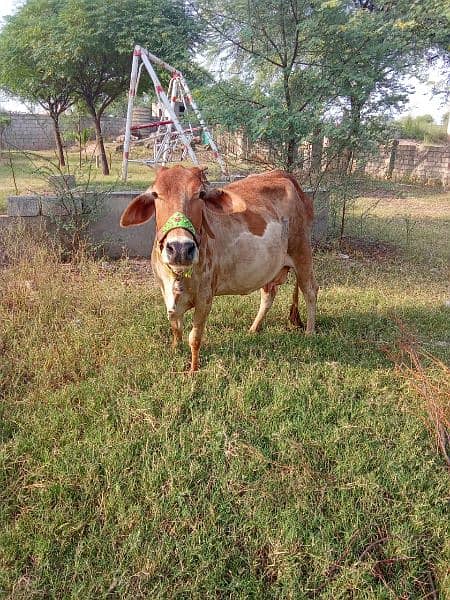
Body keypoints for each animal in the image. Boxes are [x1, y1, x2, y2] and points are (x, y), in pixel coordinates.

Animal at [118, 165, 316, 370]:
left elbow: (194, 337)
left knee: (310, 291)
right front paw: (175, 350)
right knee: (269, 295)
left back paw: (309, 332)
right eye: (156, 194)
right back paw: (253, 329)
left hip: (302, 254)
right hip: (269, 268)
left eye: (201, 194)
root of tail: (283, 174)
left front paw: (193, 368)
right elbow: (176, 327)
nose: (180, 248)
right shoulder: (166, 293)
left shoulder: (205, 298)